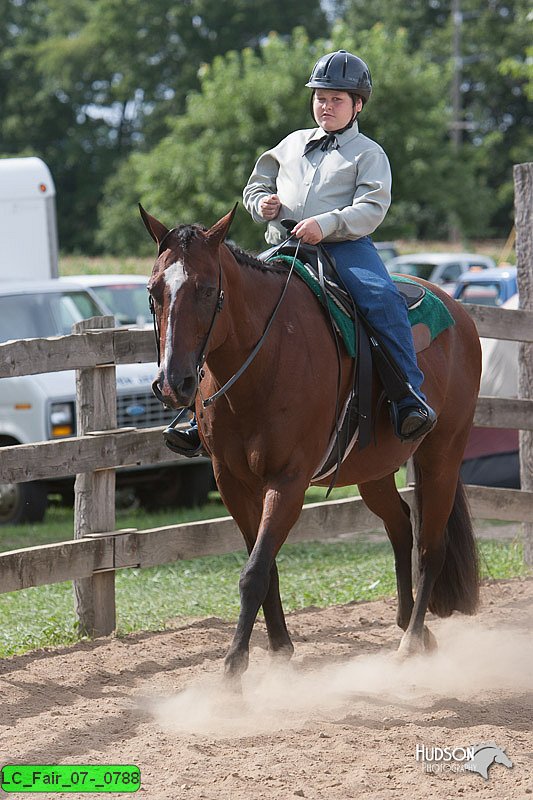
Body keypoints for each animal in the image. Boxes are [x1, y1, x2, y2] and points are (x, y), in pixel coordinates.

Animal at [139, 206, 480, 688]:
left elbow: (254, 573)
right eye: (154, 291)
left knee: (431, 547)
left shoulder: (289, 482)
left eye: (207, 289)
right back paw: (409, 622)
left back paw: (411, 641)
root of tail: (457, 310)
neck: (263, 360)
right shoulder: (232, 482)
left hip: (442, 456)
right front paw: (280, 650)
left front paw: (232, 672)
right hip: (374, 470)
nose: (174, 383)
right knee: (400, 525)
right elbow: (266, 567)